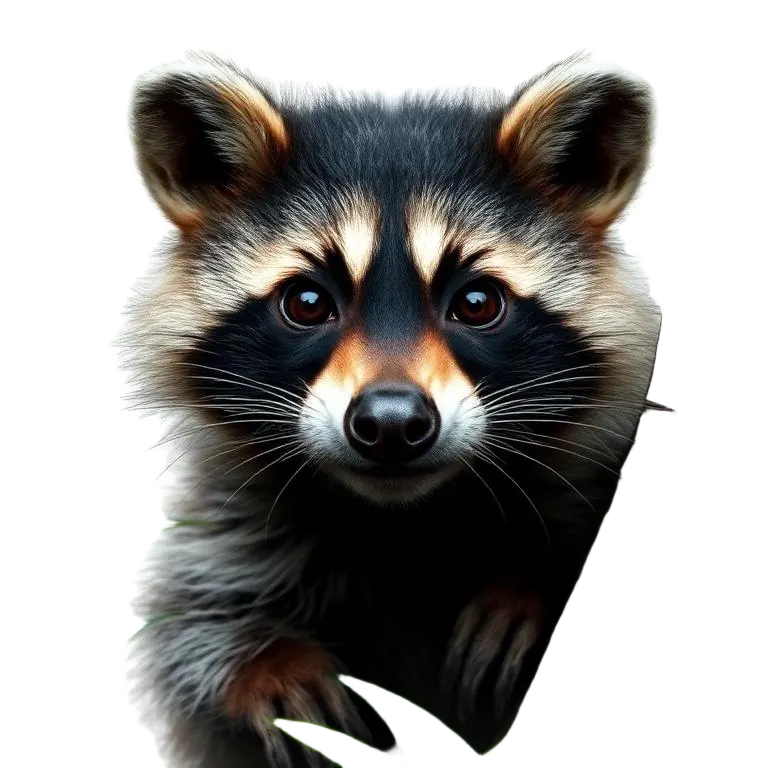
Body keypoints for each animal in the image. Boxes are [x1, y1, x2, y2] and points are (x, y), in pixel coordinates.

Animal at [122, 51, 660, 767]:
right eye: (307, 303)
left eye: (478, 303)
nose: (392, 423)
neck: (405, 520)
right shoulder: (228, 520)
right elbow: (183, 627)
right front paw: (262, 661)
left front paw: (531, 586)